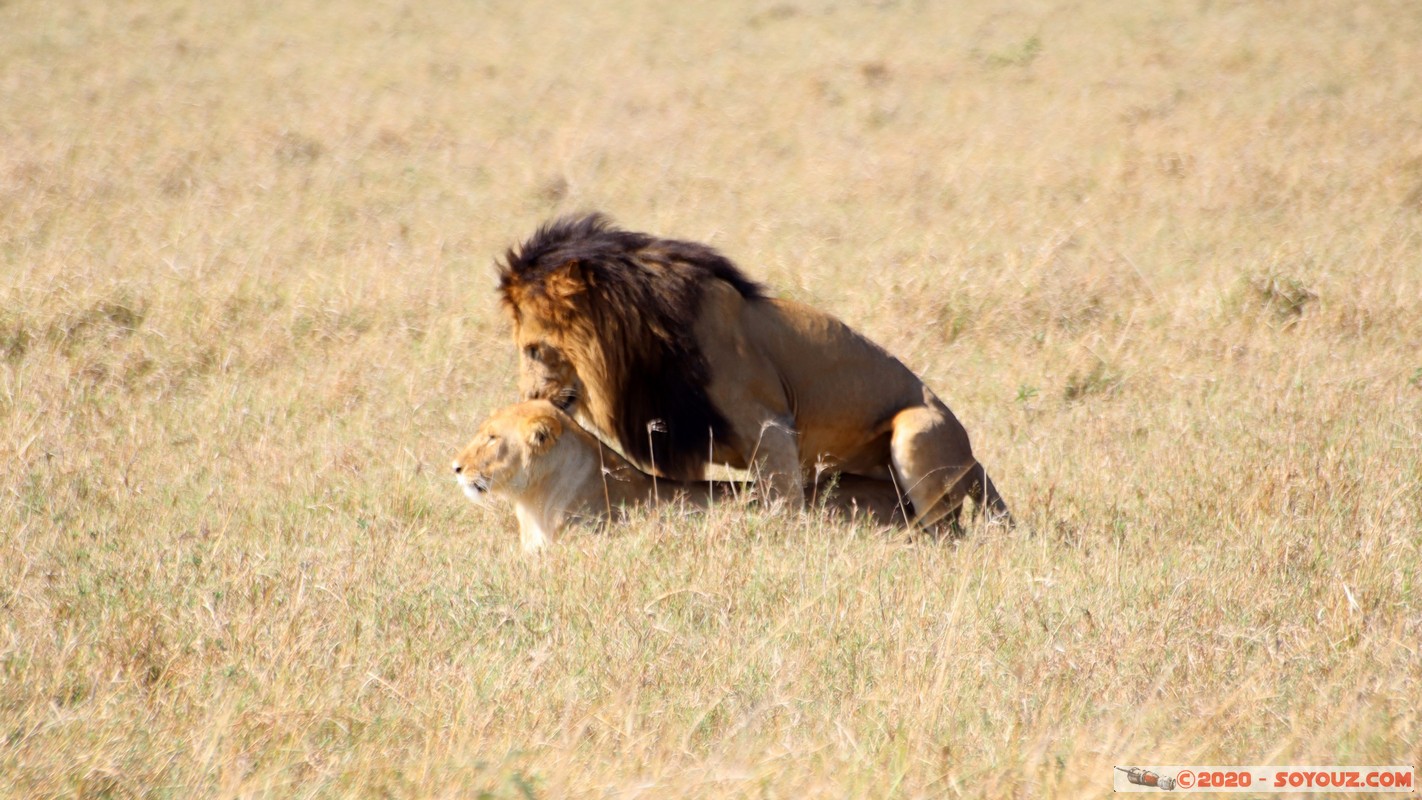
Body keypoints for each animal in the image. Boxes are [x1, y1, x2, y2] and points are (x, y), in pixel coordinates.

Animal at [496, 213, 1011, 531]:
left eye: (533, 349)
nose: (528, 400)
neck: (642, 345)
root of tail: (975, 459)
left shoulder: (771, 426)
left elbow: (784, 506)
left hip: (917, 428)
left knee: (944, 531)